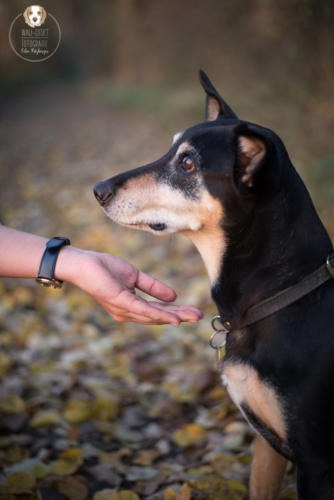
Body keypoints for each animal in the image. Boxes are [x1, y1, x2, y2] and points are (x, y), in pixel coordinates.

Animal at [93, 71, 334, 500]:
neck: (280, 295)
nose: (99, 189)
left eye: (187, 163)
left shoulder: (314, 460)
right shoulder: (267, 449)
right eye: (171, 149)